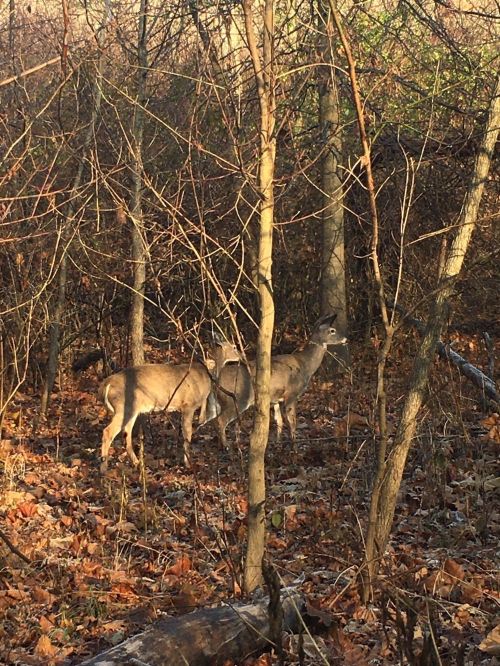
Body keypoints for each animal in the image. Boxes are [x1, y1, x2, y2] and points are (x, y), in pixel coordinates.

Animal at [98, 333, 240, 472]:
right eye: (233, 346)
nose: (240, 357)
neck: (206, 373)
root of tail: (106, 384)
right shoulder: (189, 405)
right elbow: (188, 433)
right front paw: (188, 463)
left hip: (130, 409)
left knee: (126, 434)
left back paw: (137, 463)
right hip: (124, 407)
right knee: (107, 432)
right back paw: (104, 468)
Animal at [215, 314, 346, 452]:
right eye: (332, 330)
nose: (345, 339)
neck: (305, 365)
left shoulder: (276, 399)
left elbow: (279, 421)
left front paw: (278, 445)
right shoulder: (292, 393)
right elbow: (292, 422)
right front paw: (294, 448)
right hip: (238, 399)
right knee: (221, 420)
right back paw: (226, 448)